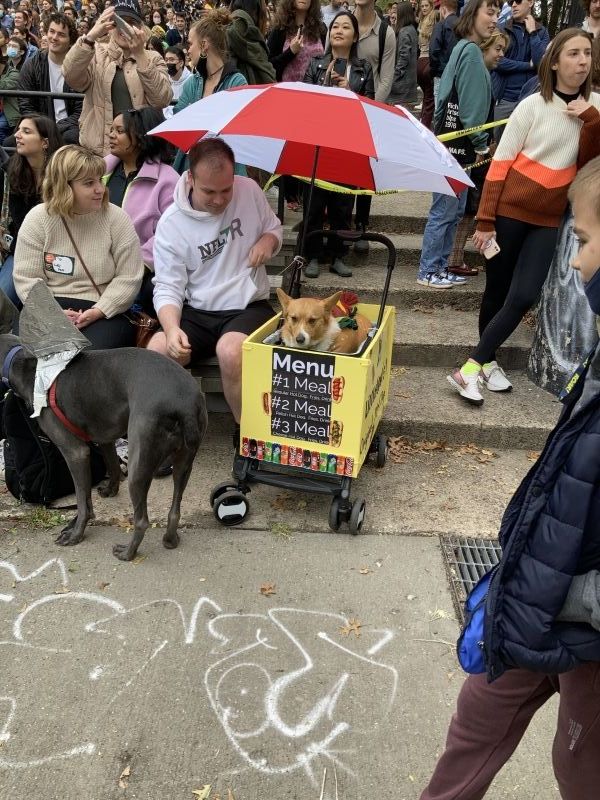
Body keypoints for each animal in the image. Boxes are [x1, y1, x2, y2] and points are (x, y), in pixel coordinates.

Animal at [0, 290, 207, 560]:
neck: (28, 366)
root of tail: (184, 401)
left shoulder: (75, 452)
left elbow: (81, 498)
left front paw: (76, 532)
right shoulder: (105, 436)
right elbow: (110, 467)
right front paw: (109, 490)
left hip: (141, 459)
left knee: (142, 519)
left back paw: (128, 552)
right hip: (184, 460)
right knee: (175, 510)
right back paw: (170, 540)